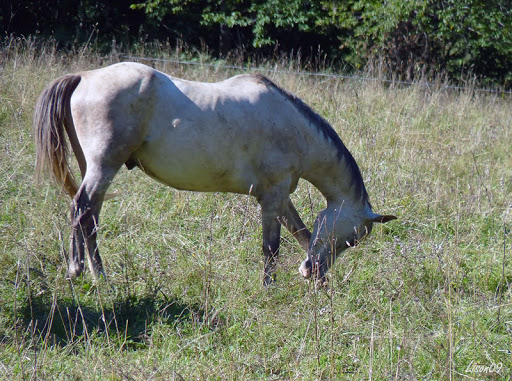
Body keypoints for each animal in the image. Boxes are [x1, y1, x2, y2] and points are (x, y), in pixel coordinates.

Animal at [34, 60, 396, 284]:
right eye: (351, 240)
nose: (313, 272)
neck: (292, 127)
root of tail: (83, 76)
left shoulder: (279, 197)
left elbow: (302, 233)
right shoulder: (272, 196)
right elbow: (272, 247)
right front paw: (269, 289)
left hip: (92, 167)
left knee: (83, 211)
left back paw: (78, 270)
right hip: (103, 166)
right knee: (84, 211)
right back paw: (98, 277)